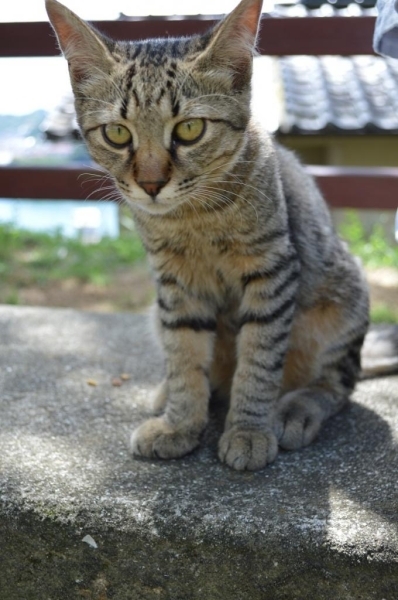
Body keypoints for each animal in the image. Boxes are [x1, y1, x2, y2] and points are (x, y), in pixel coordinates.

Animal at [47, 0, 374, 472]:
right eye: (118, 133)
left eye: (189, 129)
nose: (150, 184)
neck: (193, 219)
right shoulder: (174, 282)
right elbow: (184, 355)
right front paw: (180, 423)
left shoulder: (272, 270)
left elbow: (259, 359)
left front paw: (248, 430)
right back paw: (171, 394)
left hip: (341, 304)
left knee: (337, 382)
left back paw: (296, 409)